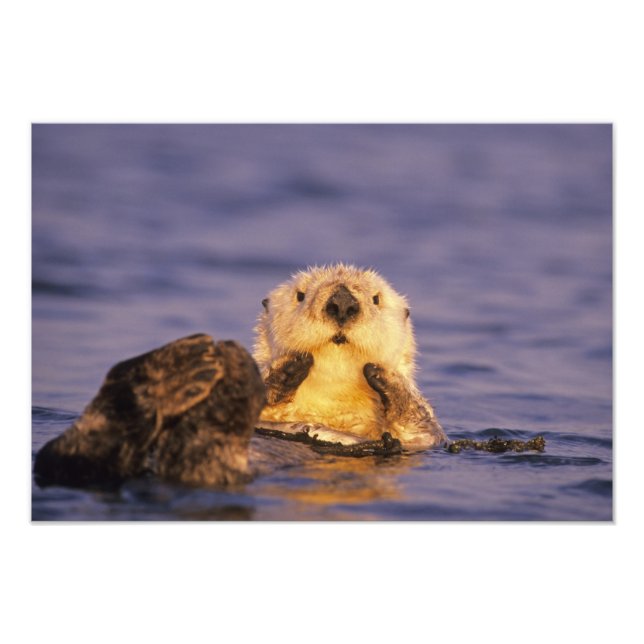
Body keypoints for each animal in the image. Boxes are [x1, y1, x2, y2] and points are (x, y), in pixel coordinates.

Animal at [254, 264, 446, 450]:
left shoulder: (420, 441)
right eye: (300, 295)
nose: (342, 302)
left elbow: (424, 431)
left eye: (376, 299)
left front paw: (385, 376)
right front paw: (287, 368)